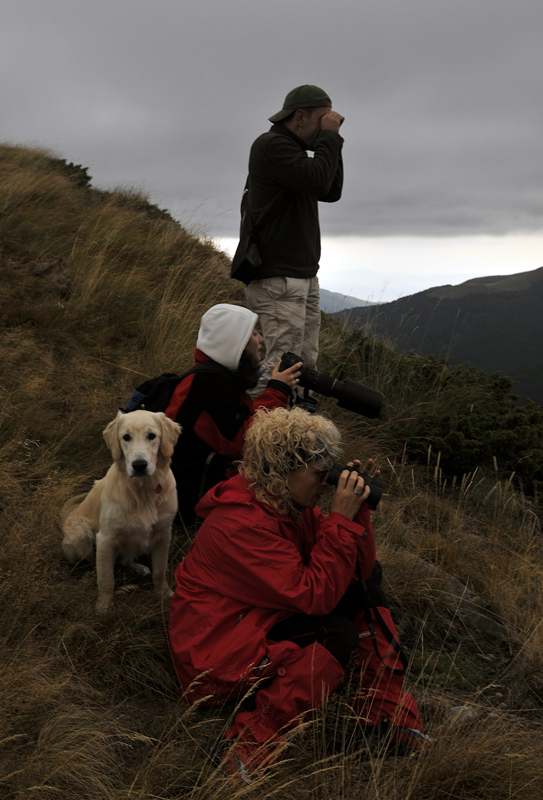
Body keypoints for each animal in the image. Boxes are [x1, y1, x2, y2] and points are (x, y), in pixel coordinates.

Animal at [61, 409, 181, 613]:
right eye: (126, 437)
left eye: (152, 436)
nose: (139, 465)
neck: (143, 491)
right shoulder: (106, 538)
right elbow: (106, 578)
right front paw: (103, 607)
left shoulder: (164, 534)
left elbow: (160, 570)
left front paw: (164, 595)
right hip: (80, 536)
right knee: (95, 563)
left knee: (123, 559)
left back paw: (140, 568)